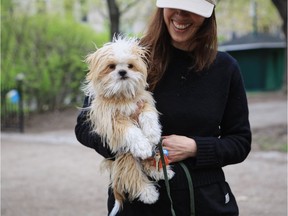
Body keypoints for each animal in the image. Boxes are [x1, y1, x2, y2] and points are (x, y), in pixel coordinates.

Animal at [82, 36, 174, 215]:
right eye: (112, 66)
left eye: (130, 65)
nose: (123, 72)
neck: (122, 95)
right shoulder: (113, 121)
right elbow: (132, 131)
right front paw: (142, 146)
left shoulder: (144, 103)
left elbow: (148, 116)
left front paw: (153, 134)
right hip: (126, 155)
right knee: (133, 176)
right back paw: (148, 193)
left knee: (149, 162)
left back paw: (159, 170)